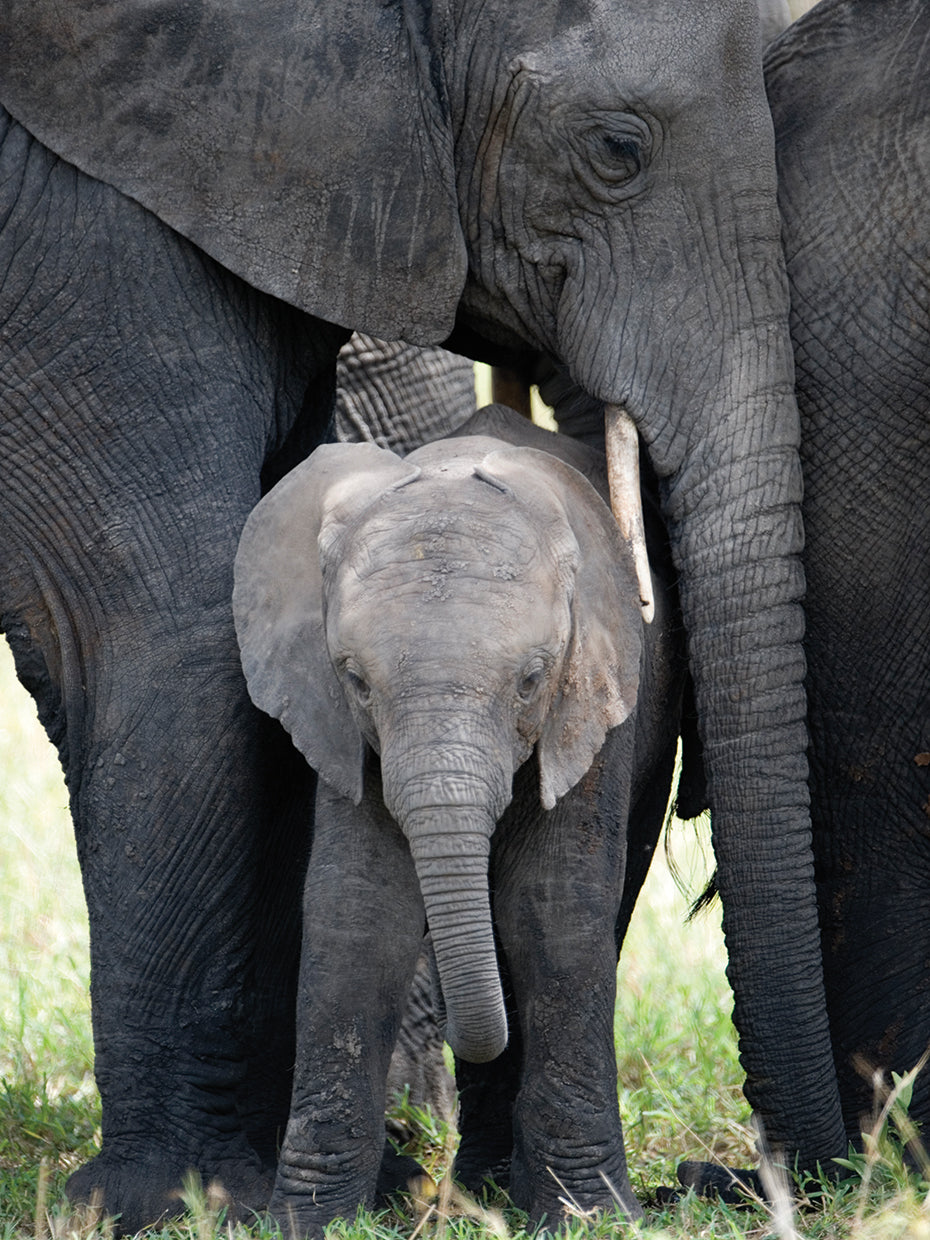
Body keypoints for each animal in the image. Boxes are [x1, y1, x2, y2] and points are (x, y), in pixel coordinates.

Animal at [233, 403, 687, 1227]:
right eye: (356, 680)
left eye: (531, 680)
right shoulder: (342, 729)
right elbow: (359, 910)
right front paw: (308, 1221)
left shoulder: (594, 694)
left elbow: (553, 910)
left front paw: (590, 1218)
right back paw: (483, 1184)